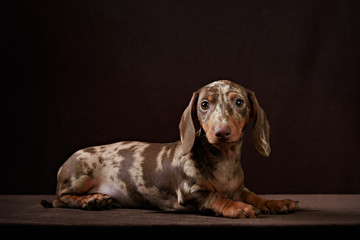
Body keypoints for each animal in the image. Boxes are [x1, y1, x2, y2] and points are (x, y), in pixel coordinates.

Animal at [41, 80, 298, 218]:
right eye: (204, 104)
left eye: (239, 102)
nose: (222, 132)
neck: (224, 160)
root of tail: (64, 165)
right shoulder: (190, 193)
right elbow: (216, 197)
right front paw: (238, 207)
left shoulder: (239, 188)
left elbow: (253, 196)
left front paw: (276, 203)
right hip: (79, 177)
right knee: (59, 200)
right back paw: (90, 200)